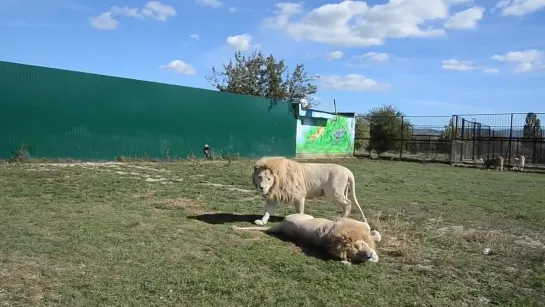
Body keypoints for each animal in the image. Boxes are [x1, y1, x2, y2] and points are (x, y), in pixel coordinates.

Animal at [232, 214, 380, 264]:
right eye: (356, 251)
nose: (369, 256)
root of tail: (281, 225)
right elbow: (373, 232)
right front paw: (374, 233)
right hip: (306, 215)